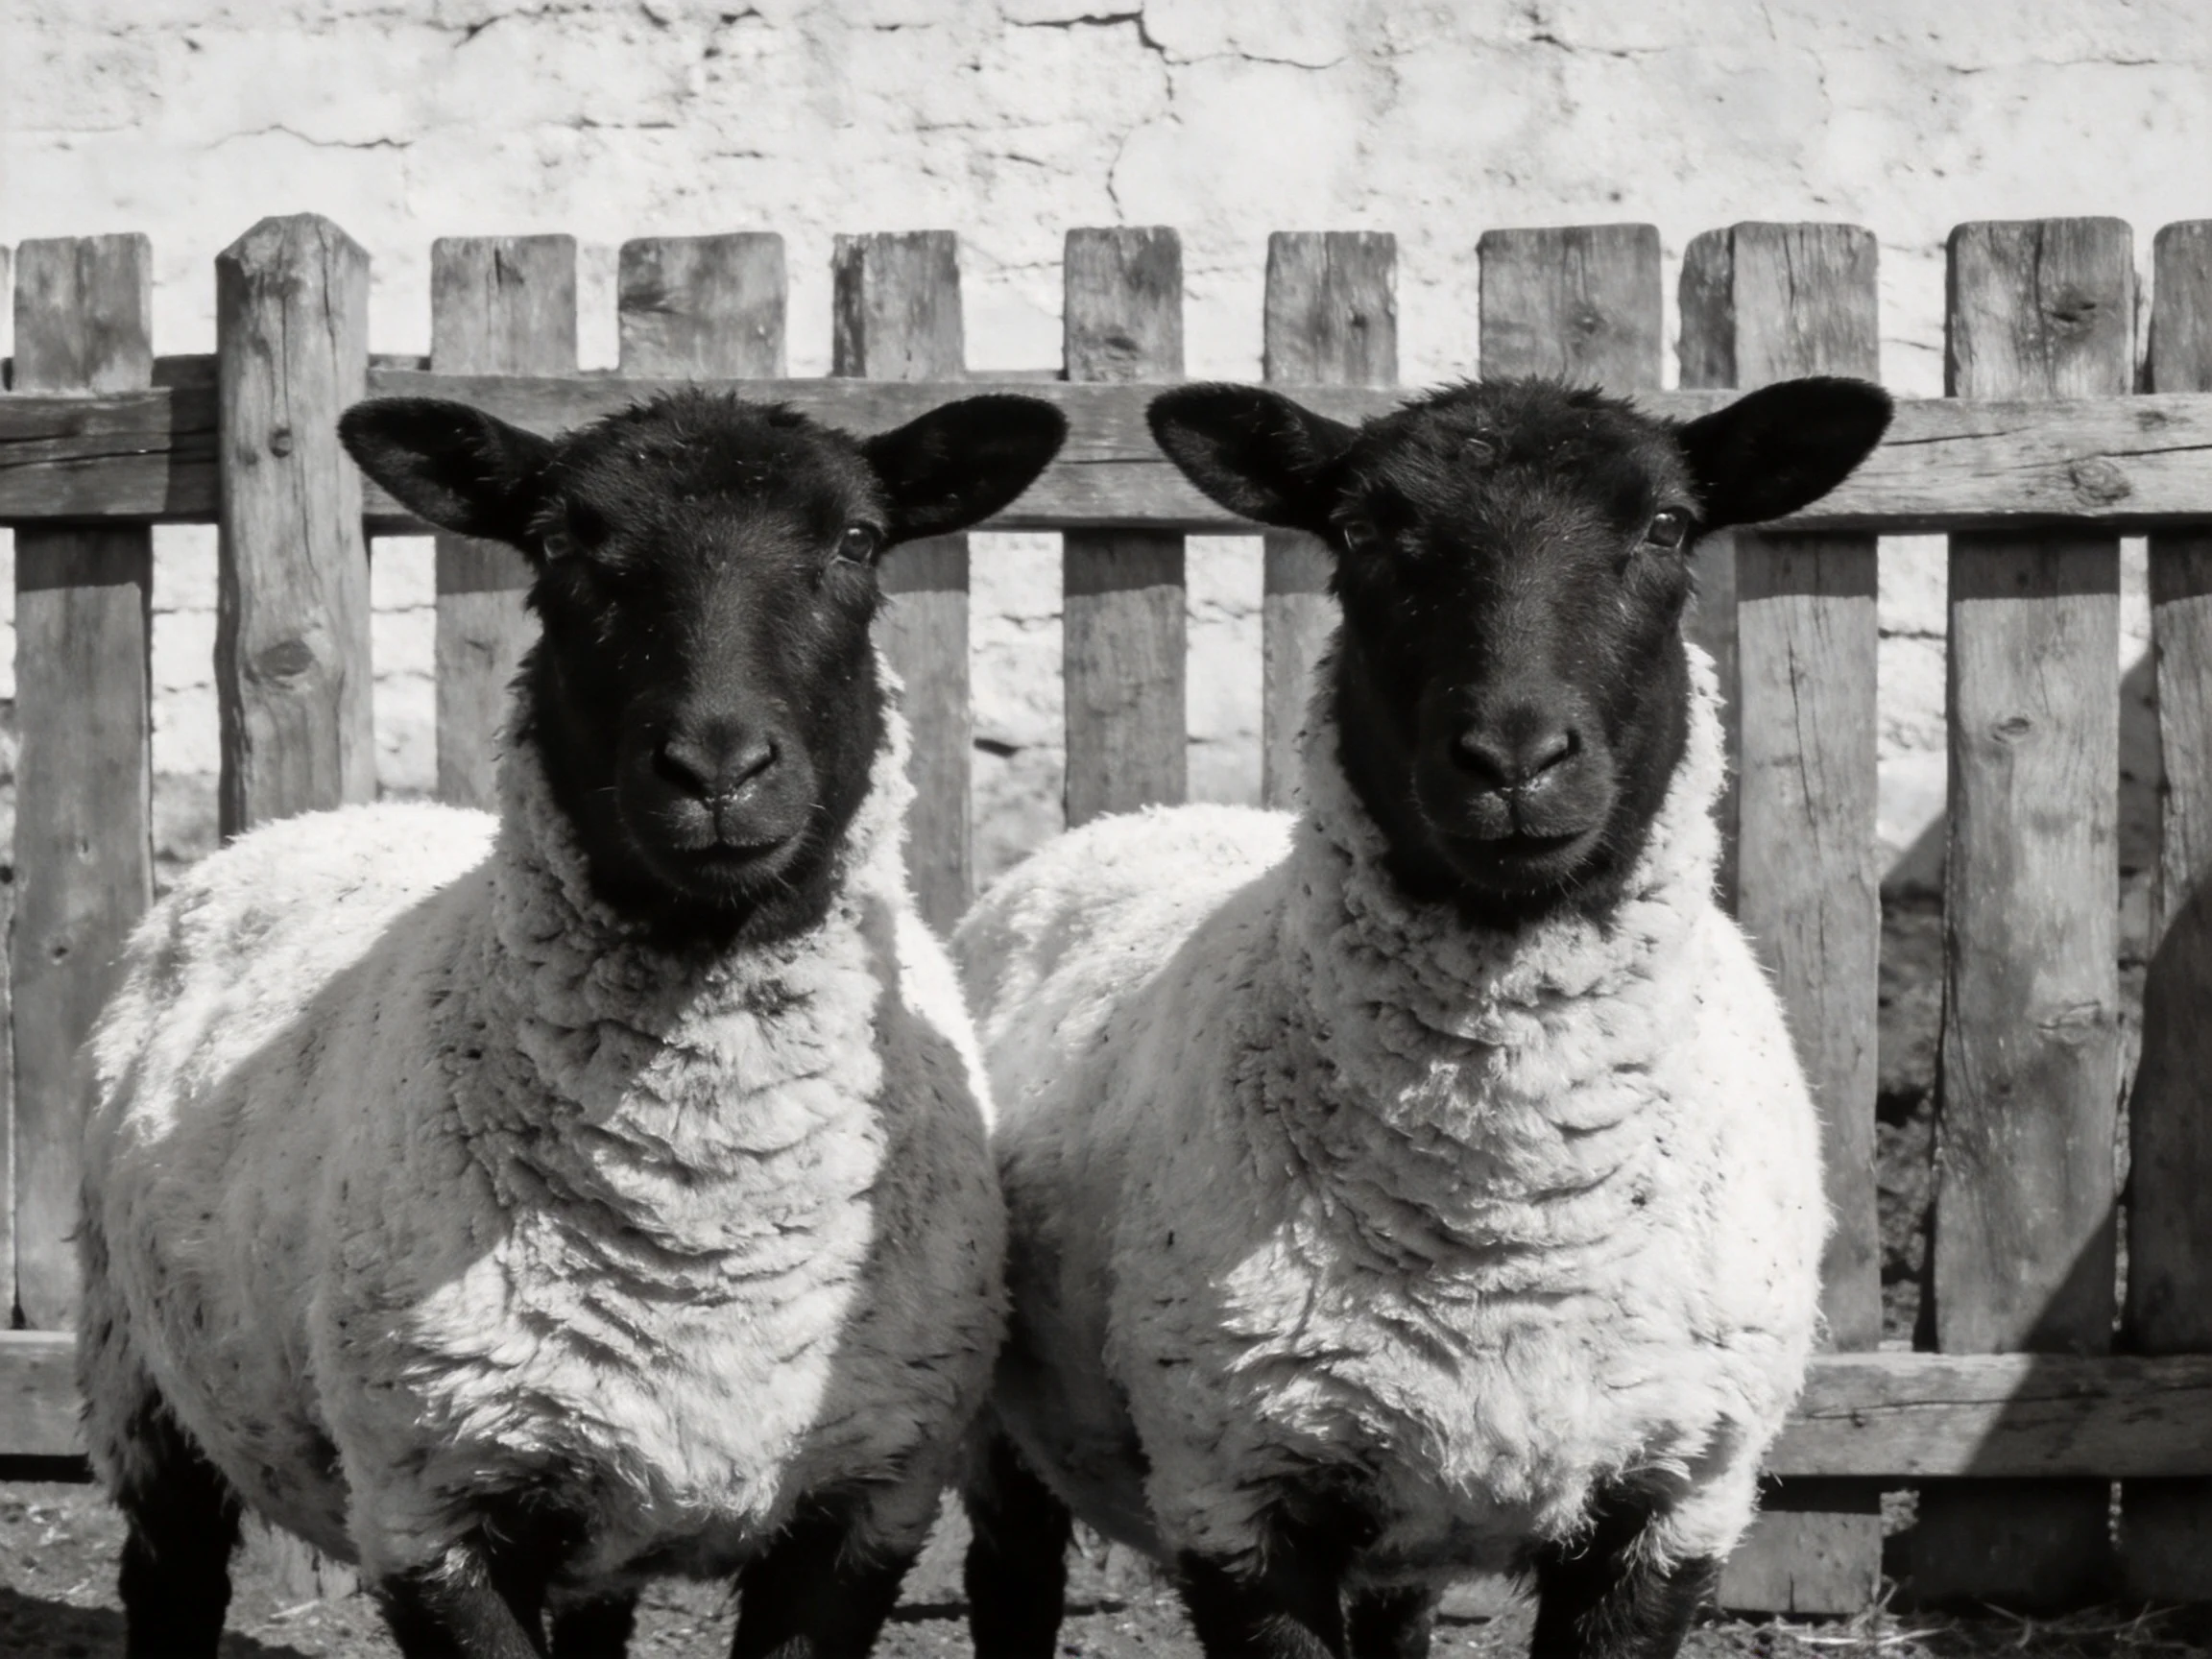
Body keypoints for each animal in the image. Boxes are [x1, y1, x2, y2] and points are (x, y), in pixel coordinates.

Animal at [76, 384, 1068, 1659]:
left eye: (856, 540)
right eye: (558, 545)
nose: (717, 768)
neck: (701, 1223)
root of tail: (299, 821)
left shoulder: (865, 1501)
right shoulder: (433, 1497)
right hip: (139, 1375)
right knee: (169, 1575)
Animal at [953, 375, 1892, 1659]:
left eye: (1665, 525)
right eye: (1359, 531)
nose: (1514, 759)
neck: (1507, 1221)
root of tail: (1140, 813)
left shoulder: (1678, 1494)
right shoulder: (1234, 1491)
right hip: (995, 1417)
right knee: (1008, 1579)